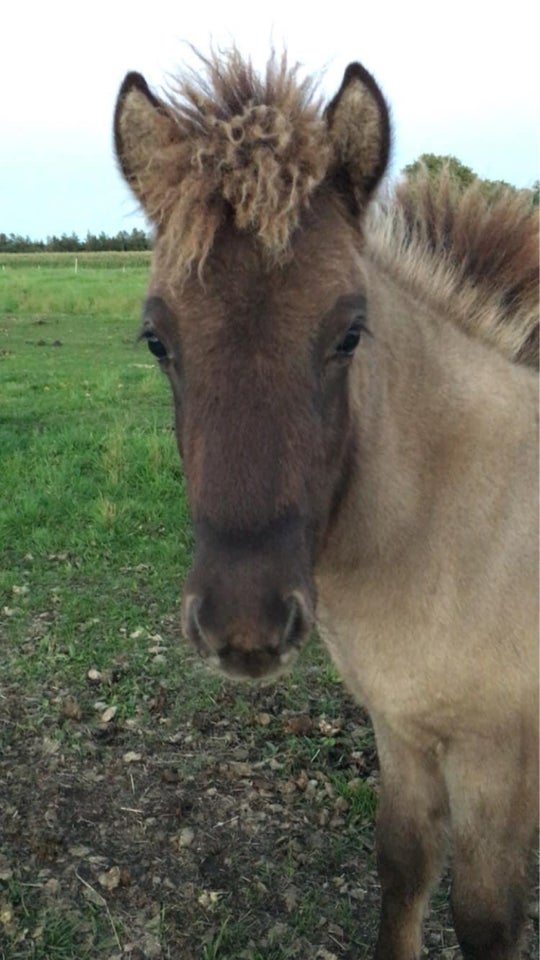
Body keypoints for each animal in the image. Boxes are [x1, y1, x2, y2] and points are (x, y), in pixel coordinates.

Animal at [112, 52, 536, 960]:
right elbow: (403, 868)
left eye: (349, 332)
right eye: (158, 339)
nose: (243, 625)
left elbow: (485, 921)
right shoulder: (403, 731)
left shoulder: (501, 762)